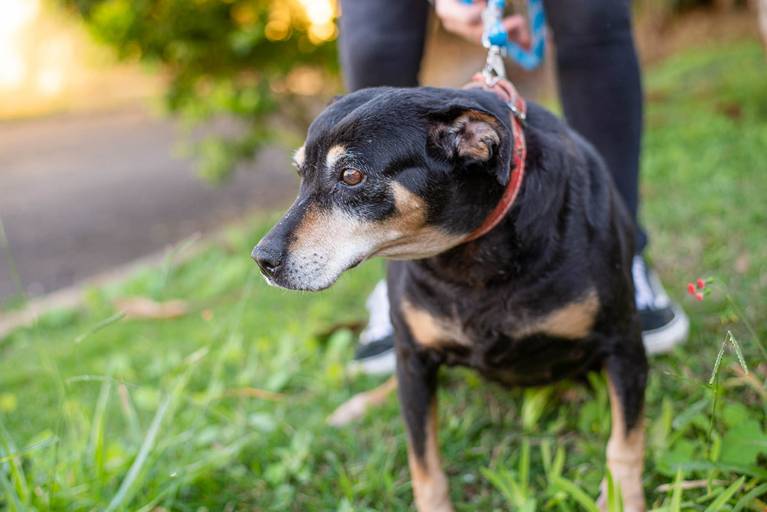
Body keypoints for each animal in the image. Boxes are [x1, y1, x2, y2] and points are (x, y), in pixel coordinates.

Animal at [252, 80, 648, 512]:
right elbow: (423, 460)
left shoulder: (623, 342)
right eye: (300, 173)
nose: (262, 259)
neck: (471, 254)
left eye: (351, 175)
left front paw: (624, 497)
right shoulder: (414, 357)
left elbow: (625, 441)